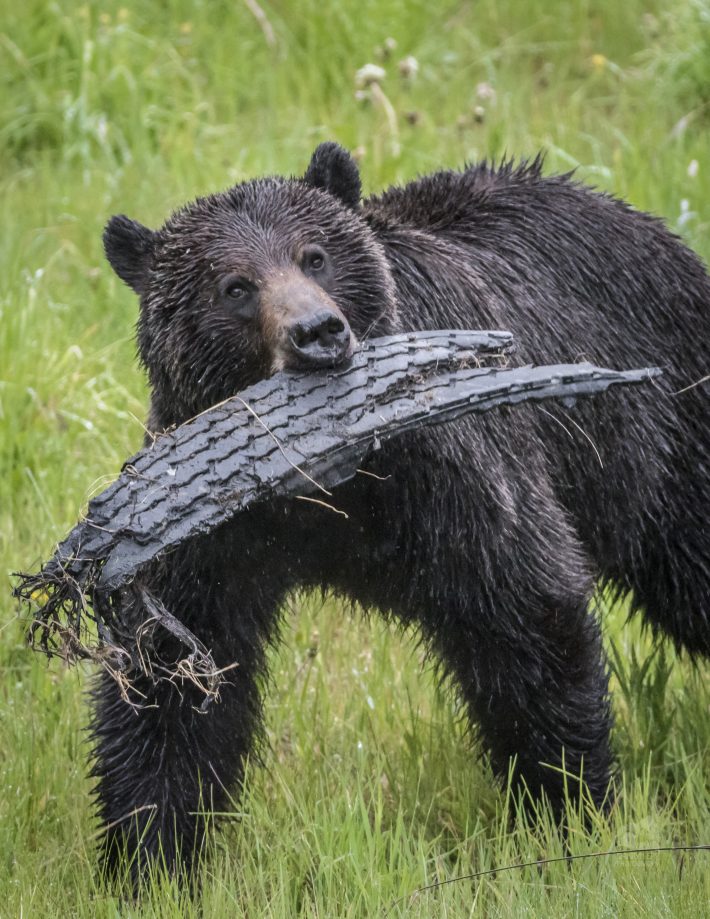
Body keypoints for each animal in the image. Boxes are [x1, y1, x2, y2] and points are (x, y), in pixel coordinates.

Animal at [100, 144, 710, 884]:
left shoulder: (452, 471)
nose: (317, 333)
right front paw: (148, 856)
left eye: (315, 255)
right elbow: (172, 670)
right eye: (234, 286)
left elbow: (526, 612)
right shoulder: (206, 522)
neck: (332, 482)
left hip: (663, 428)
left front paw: (567, 809)